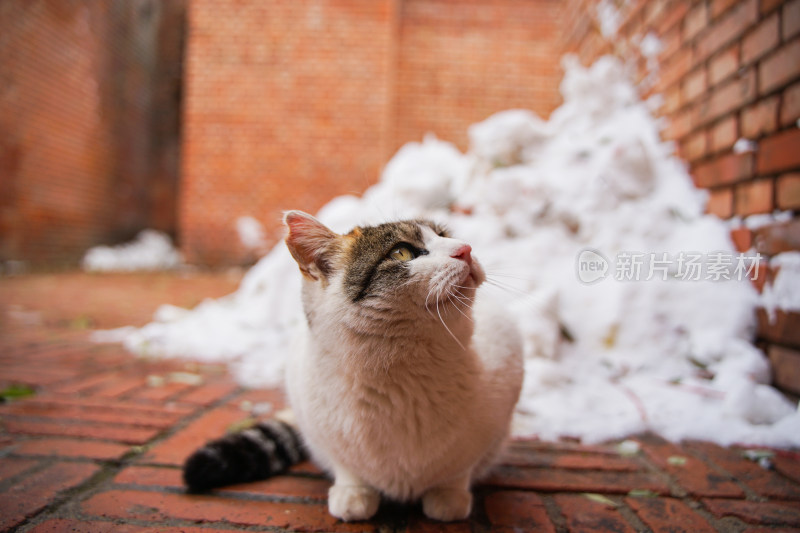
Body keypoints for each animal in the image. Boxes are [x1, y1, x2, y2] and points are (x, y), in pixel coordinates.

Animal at [183, 211, 524, 520]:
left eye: (444, 235)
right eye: (402, 252)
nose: (465, 248)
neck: (402, 375)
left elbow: (458, 467)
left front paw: (448, 496)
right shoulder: (321, 426)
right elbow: (348, 465)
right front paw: (353, 493)